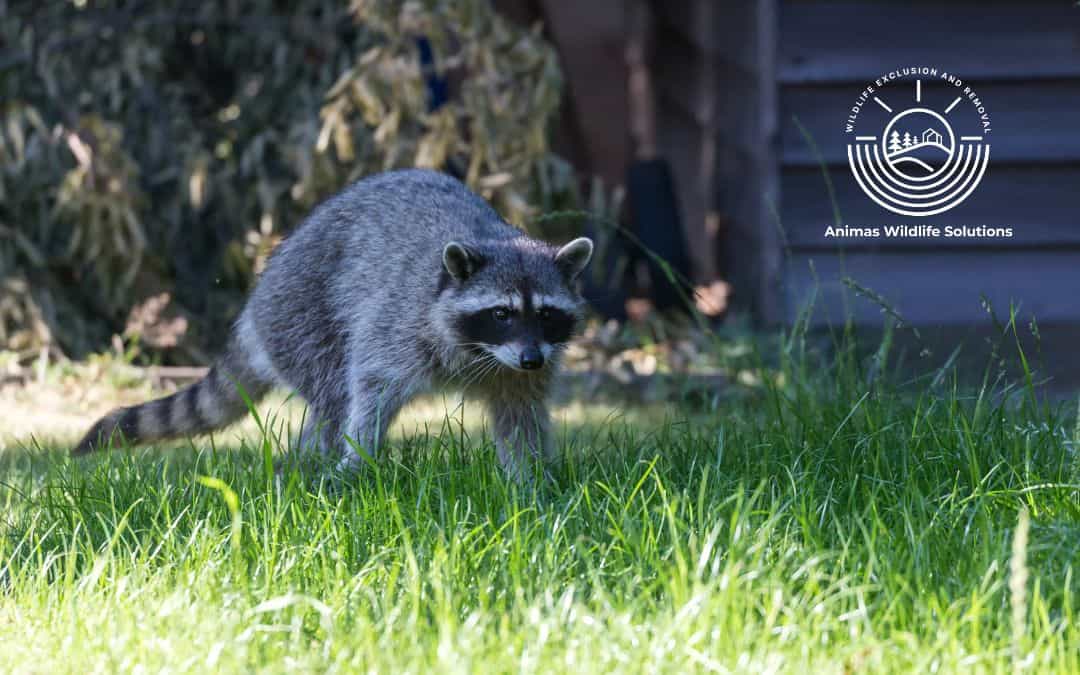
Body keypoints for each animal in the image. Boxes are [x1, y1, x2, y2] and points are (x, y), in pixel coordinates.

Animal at [73, 170, 600, 481]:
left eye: (547, 314)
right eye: (501, 313)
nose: (531, 359)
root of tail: (256, 303)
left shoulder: (520, 369)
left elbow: (519, 415)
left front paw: (531, 482)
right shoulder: (398, 323)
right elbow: (371, 388)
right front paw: (357, 458)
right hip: (302, 312)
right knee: (332, 392)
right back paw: (314, 461)